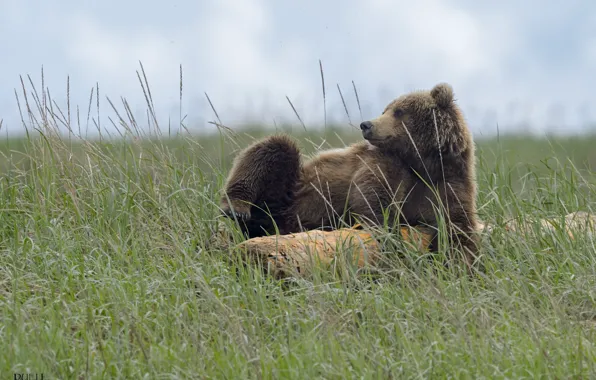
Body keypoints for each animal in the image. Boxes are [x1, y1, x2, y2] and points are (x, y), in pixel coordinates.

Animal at [219, 83, 480, 268]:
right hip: (292, 190)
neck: (422, 164)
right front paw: (387, 231)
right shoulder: (386, 163)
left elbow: (459, 228)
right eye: (386, 109)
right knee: (275, 148)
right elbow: (371, 195)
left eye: (399, 111)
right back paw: (236, 207)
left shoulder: (448, 183)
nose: (367, 124)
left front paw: (458, 262)